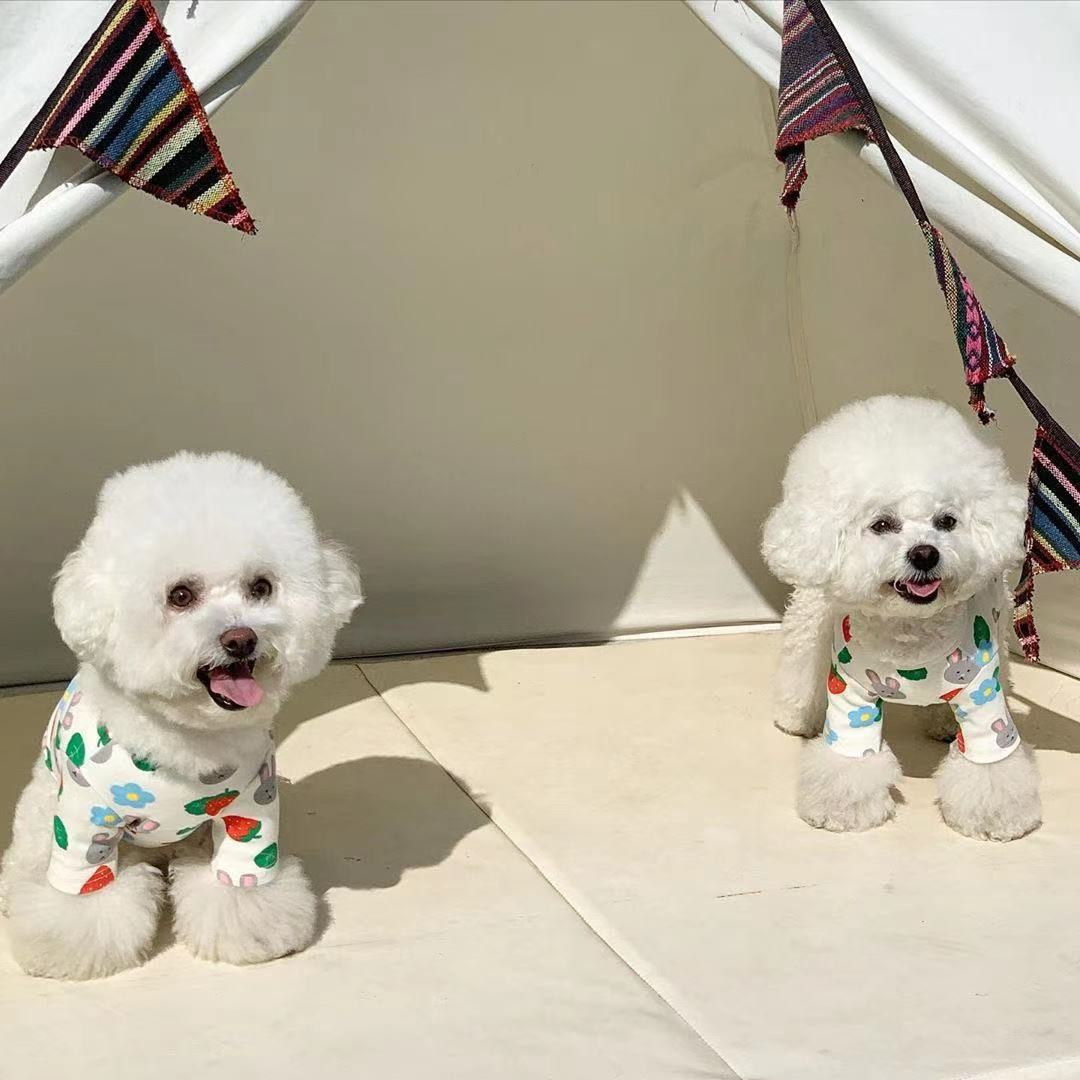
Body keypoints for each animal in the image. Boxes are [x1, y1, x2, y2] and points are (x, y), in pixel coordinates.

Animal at [0, 451, 362, 976]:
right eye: (181, 595)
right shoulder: (83, 819)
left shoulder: (251, 812)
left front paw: (253, 930)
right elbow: (84, 894)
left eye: (261, 587)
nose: (241, 638)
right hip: (42, 813)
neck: (187, 740)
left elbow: (241, 879)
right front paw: (69, 948)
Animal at [764, 397, 1041, 842]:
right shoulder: (850, 690)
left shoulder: (983, 690)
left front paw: (996, 815)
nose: (925, 553)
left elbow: (990, 763)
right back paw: (797, 715)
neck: (910, 633)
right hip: (812, 616)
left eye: (947, 521)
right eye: (881, 524)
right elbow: (847, 758)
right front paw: (840, 807)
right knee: (800, 661)